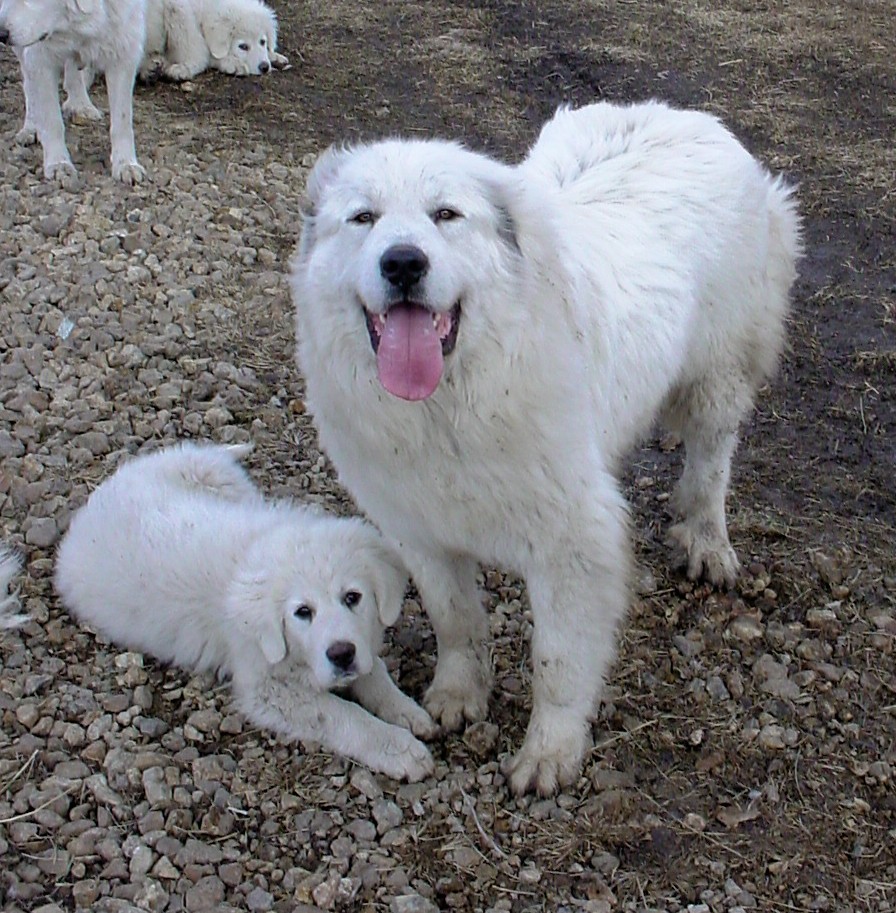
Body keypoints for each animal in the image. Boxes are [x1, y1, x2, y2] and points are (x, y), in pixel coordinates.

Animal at [0, 0, 147, 183]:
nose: (1, 34)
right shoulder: (40, 58)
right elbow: (52, 121)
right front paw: (58, 164)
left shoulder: (124, 51)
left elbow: (122, 122)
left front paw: (126, 164)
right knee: (29, 85)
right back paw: (31, 127)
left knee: (72, 72)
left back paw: (81, 104)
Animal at [52, 444, 438, 784]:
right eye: (302, 612)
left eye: (352, 597)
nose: (341, 654)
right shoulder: (267, 686)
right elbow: (339, 714)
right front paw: (399, 749)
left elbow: (374, 671)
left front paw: (406, 711)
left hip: (222, 480)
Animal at [141, 0, 288, 80]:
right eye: (243, 47)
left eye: (262, 42)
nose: (264, 67)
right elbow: (205, 52)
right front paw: (233, 64)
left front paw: (275, 57)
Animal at [290, 100, 800, 796]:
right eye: (362, 217)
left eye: (446, 215)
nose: (403, 263)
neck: (450, 403)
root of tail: (688, 116)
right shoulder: (417, 528)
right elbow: (456, 619)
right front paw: (458, 694)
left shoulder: (571, 541)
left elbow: (557, 661)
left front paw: (549, 753)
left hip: (719, 373)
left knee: (710, 460)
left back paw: (706, 540)